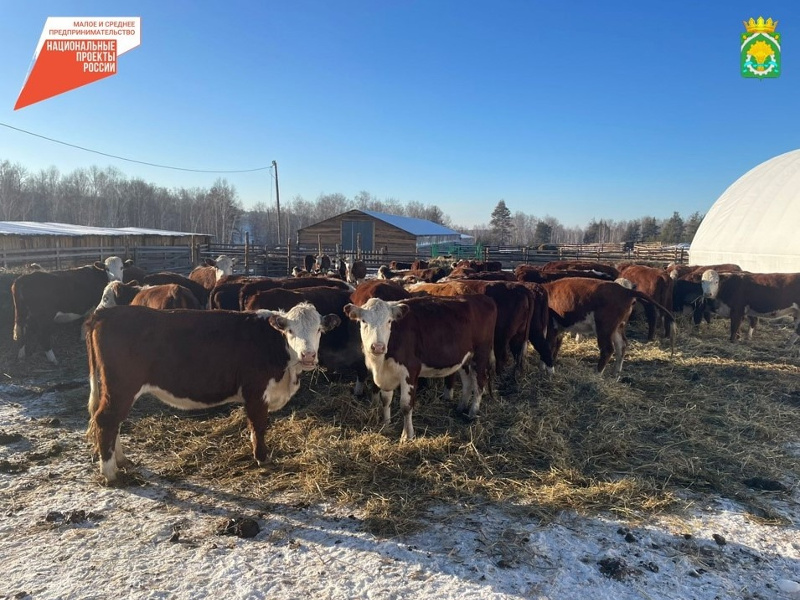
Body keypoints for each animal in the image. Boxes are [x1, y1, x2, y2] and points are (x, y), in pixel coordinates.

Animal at [85, 302, 340, 480]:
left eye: (319, 329)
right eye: (290, 331)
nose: (308, 356)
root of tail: (106, 313)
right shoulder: (256, 392)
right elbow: (258, 425)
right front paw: (262, 457)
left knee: (113, 421)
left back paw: (121, 460)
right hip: (122, 386)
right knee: (106, 419)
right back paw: (110, 473)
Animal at [342, 296, 494, 440]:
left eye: (389, 321)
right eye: (363, 321)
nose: (378, 347)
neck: (381, 363)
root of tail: (482, 298)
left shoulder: (410, 371)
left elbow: (406, 405)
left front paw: (407, 435)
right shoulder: (387, 374)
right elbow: (385, 400)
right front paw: (386, 424)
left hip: (481, 354)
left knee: (480, 383)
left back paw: (472, 413)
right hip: (465, 358)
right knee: (468, 382)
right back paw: (461, 407)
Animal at [544, 276, 676, 376]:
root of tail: (625, 291)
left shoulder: (550, 328)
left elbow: (548, 347)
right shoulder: (558, 329)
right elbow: (555, 347)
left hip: (604, 328)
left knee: (608, 349)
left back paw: (597, 375)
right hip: (618, 327)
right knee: (622, 345)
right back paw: (615, 374)